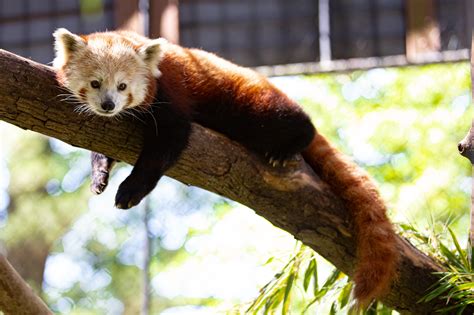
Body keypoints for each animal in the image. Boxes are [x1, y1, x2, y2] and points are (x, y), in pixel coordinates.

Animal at [52, 29, 400, 306]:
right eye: (95, 83)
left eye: (123, 86)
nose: (108, 105)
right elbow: (102, 146)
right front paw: (99, 175)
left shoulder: (170, 94)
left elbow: (167, 145)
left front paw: (130, 190)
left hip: (251, 104)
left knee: (288, 120)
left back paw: (289, 143)